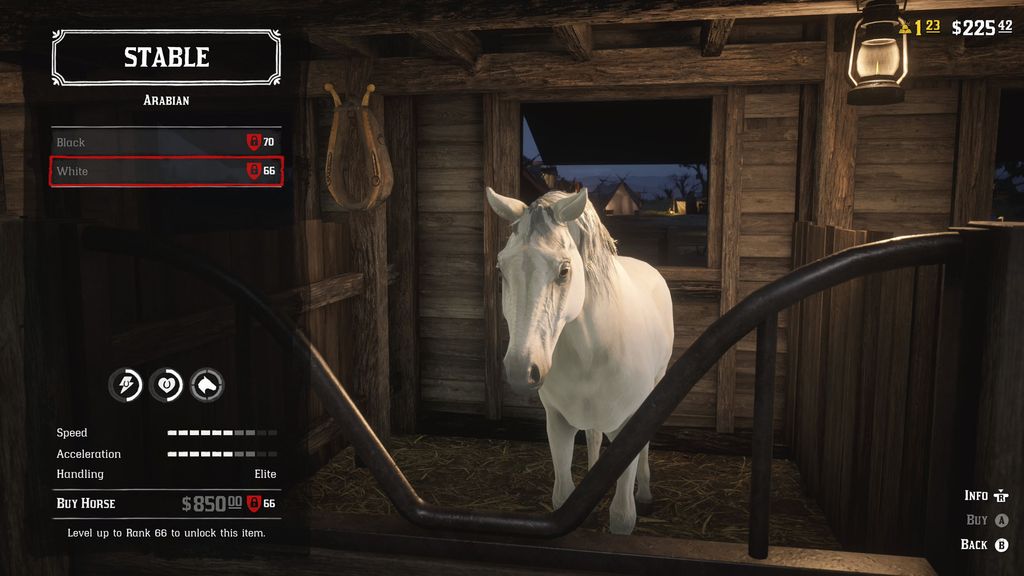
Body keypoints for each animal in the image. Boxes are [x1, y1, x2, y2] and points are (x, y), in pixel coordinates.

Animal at [485, 186, 675, 535]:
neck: (593, 352)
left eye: (564, 270)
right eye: (501, 269)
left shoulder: (628, 427)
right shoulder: (558, 424)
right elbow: (562, 498)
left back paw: (645, 493)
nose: (521, 371)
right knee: (594, 435)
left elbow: (623, 516)